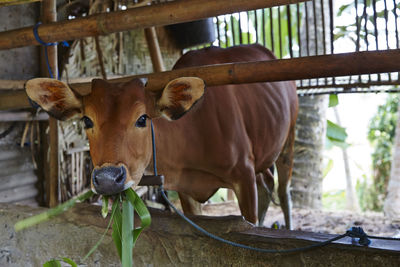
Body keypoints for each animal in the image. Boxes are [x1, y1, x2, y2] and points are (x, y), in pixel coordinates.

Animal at [25, 45, 296, 229]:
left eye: (142, 119)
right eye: (87, 120)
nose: (108, 179)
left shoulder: (243, 175)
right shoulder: (187, 190)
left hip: (289, 139)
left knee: (283, 189)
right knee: (267, 182)